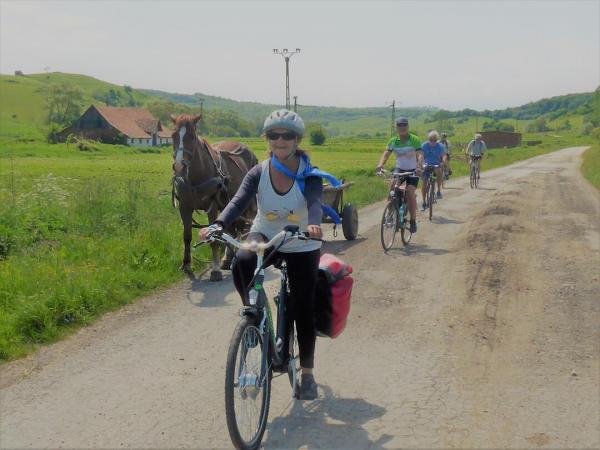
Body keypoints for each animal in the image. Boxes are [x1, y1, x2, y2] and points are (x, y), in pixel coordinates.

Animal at [172, 113, 258, 282]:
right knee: (232, 229)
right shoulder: (185, 207)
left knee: (241, 227)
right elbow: (187, 236)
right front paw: (187, 265)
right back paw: (227, 258)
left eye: (192, 137)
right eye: (173, 136)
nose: (179, 167)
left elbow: (213, 239)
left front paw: (215, 270)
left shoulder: (212, 207)